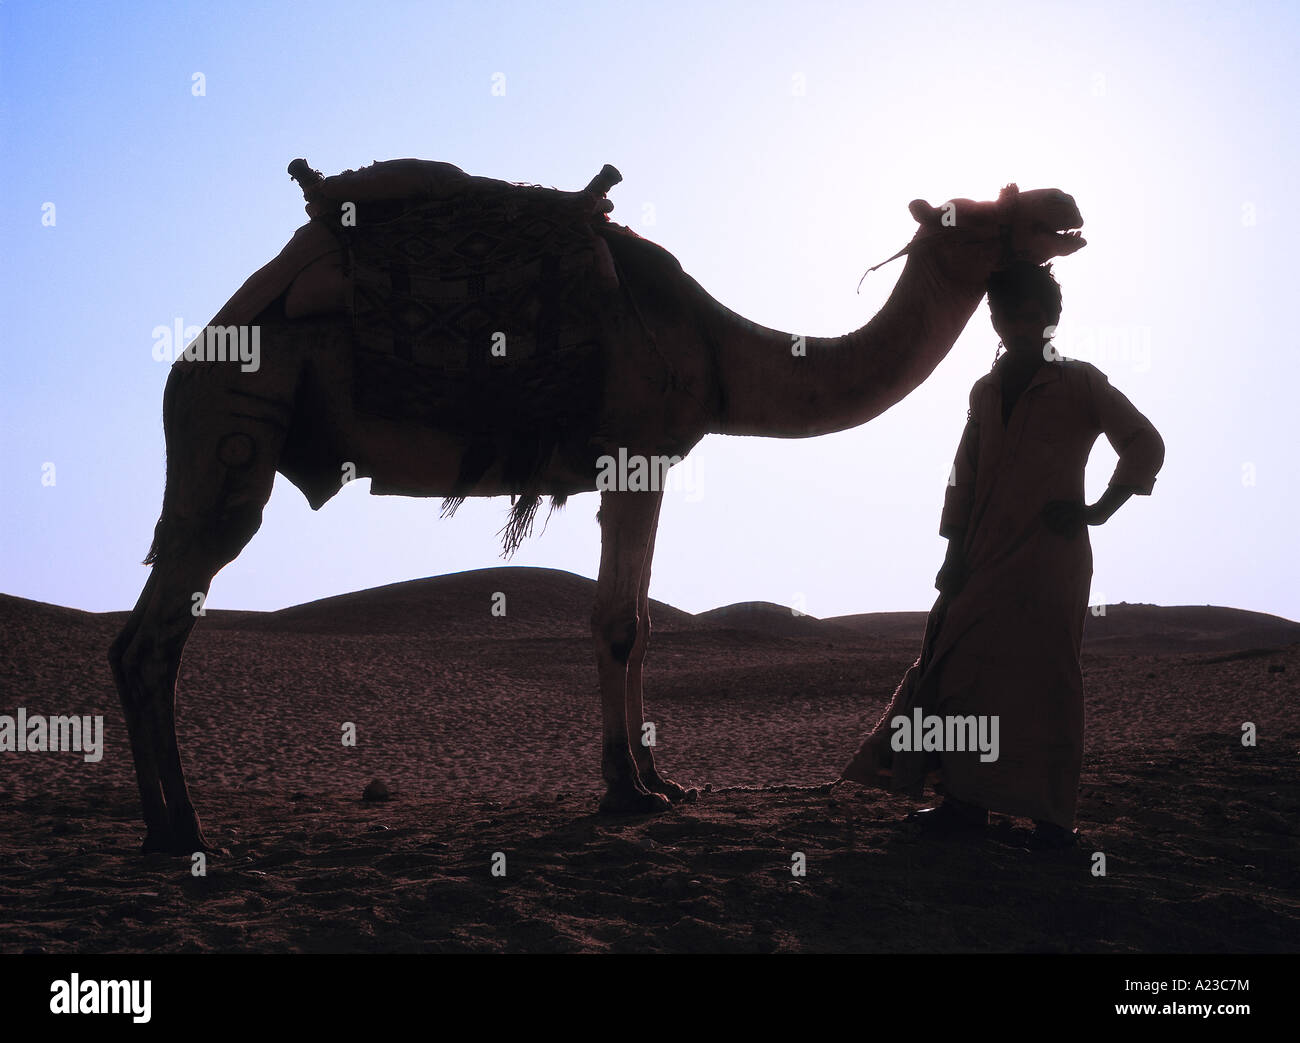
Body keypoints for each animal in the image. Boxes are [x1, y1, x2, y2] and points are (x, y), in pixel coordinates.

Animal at [110, 160, 1085, 853]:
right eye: (978, 214)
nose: (1065, 202)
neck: (717, 349)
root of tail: (191, 353)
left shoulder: (644, 464)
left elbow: (643, 621)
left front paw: (663, 781)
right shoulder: (633, 453)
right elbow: (618, 620)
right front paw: (625, 790)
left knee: (138, 634)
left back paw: (163, 825)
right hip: (235, 421)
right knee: (158, 629)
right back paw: (185, 828)